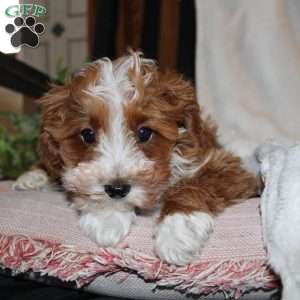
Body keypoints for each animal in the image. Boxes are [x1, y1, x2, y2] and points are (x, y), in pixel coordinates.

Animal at [14, 51, 258, 264]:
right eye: (87, 134)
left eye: (144, 132)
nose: (117, 189)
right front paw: (107, 215)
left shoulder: (228, 167)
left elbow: (195, 184)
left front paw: (177, 230)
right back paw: (32, 177)